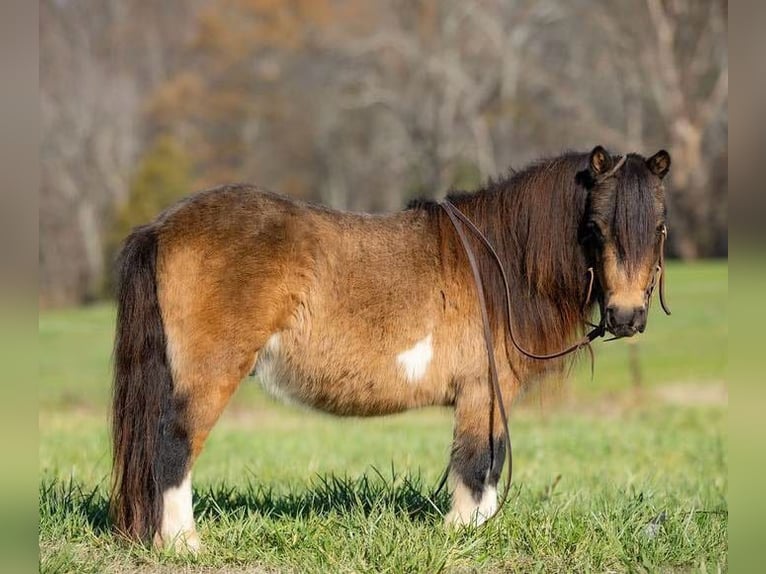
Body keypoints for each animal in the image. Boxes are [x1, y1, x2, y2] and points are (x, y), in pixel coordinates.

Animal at [112, 146, 672, 552]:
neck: (502, 261)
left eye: (660, 227)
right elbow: (476, 464)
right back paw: (183, 544)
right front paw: (463, 533)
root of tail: (161, 226)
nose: (625, 317)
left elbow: (489, 463)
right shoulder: (481, 392)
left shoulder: (492, 395)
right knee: (174, 445)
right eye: (596, 226)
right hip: (209, 377)